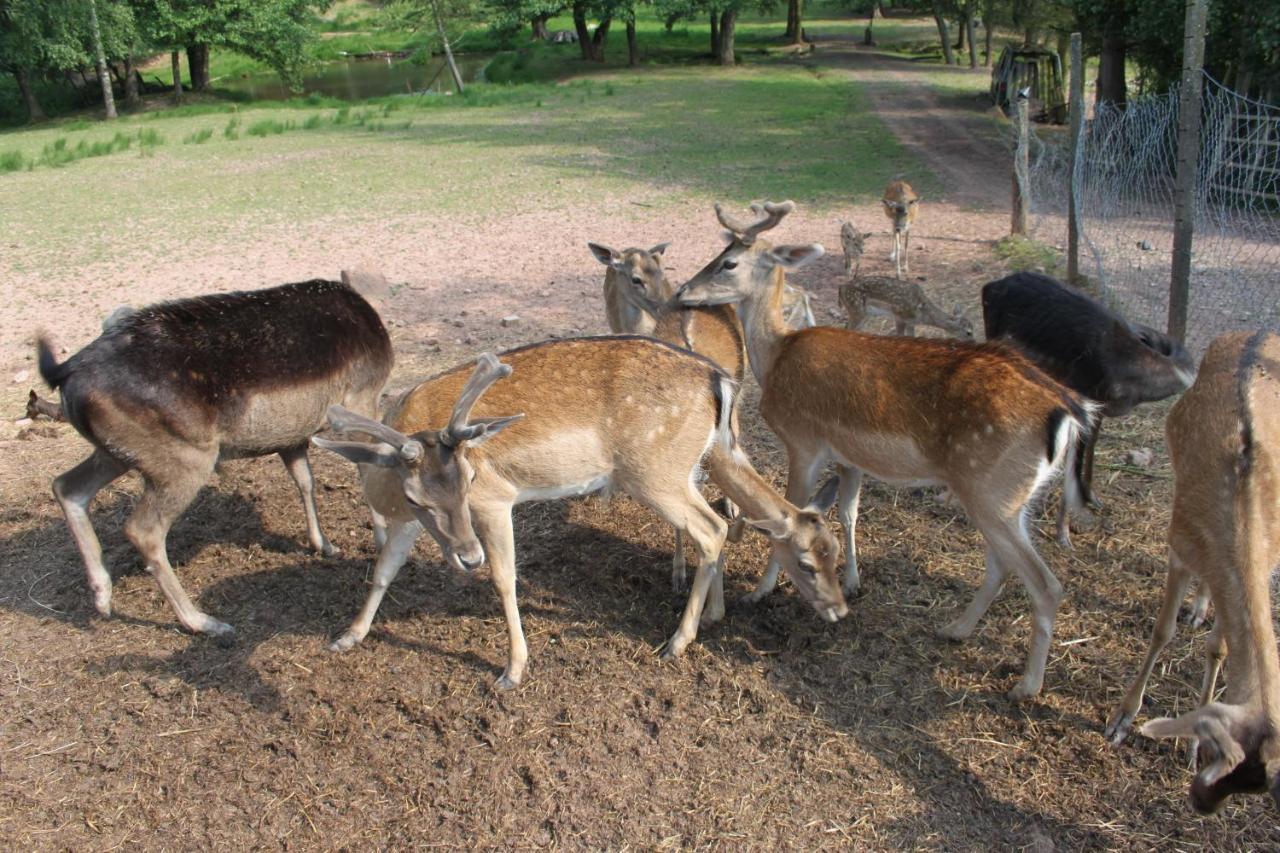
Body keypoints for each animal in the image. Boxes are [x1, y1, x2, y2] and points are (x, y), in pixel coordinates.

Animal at [38, 275, 389, 635]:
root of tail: (65, 374)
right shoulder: (362, 394)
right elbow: (368, 465)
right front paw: (378, 541)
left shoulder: (291, 436)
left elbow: (305, 480)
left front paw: (325, 545)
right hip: (187, 458)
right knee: (143, 529)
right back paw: (205, 623)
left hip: (118, 451)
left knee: (67, 486)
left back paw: (102, 595)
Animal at [839, 272, 977, 338]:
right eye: (968, 332)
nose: (974, 342)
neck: (922, 312)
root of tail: (842, 288)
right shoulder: (899, 315)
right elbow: (900, 336)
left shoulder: (911, 322)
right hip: (857, 309)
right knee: (848, 329)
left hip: (861, 312)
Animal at [977, 275, 1198, 548]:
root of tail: (991, 284)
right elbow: (1075, 457)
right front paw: (1064, 535)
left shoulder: (1099, 408)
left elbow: (1091, 448)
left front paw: (1093, 498)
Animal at [1100, 326, 1280, 809]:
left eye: (1264, 782)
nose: (1201, 804)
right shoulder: (1177, 546)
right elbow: (1162, 632)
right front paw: (1121, 720)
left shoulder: (1265, 566)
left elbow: (1219, 647)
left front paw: (1191, 746)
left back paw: (1200, 607)